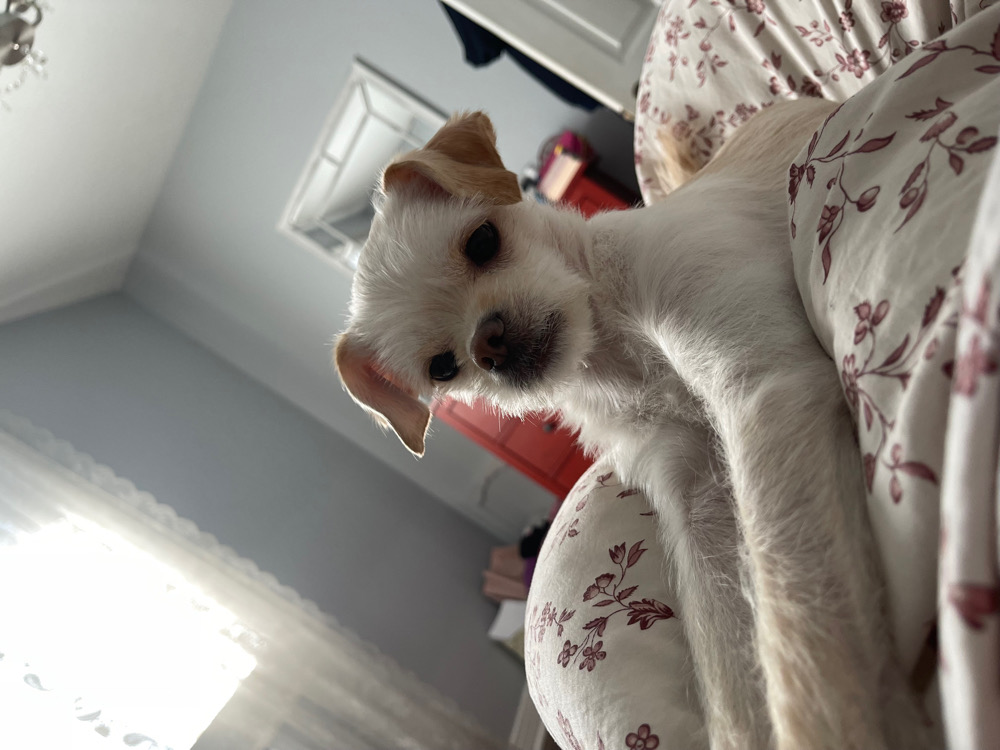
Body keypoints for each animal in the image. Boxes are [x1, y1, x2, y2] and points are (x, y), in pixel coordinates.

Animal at [333, 105, 927, 749]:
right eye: (441, 368)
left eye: (483, 240)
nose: (487, 344)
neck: (615, 357)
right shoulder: (701, 498)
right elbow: (737, 676)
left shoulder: (764, 391)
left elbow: (806, 635)